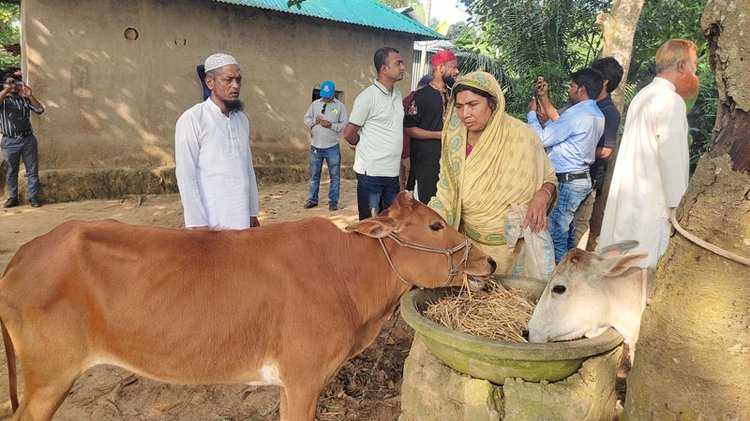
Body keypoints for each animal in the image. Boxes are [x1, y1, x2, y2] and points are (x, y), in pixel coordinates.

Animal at [0, 191, 494, 420]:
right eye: (435, 225)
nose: (488, 261)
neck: (346, 274)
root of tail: (23, 257)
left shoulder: (290, 384)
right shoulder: (304, 376)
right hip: (50, 378)